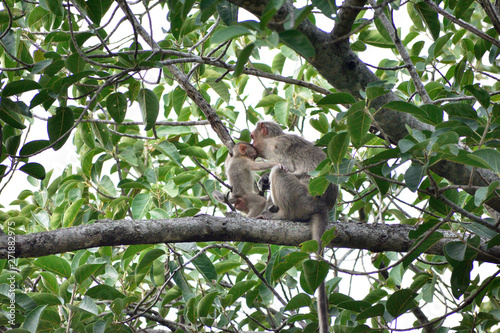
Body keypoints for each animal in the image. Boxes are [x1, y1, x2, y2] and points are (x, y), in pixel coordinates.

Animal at [252, 121, 338, 332]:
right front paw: (263, 181)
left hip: (301, 198)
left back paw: (281, 214)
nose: (250, 146)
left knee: (279, 171)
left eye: (252, 137)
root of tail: (323, 206)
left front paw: (266, 178)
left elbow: (288, 168)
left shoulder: (279, 147)